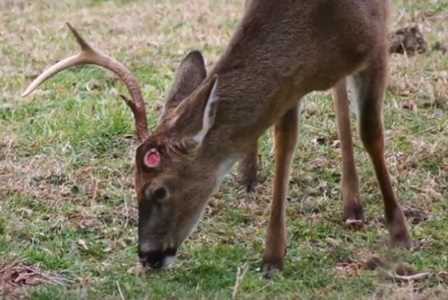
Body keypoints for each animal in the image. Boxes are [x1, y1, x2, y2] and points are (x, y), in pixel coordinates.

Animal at [22, 0, 412, 278]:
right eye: (133, 184)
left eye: (159, 190)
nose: (147, 255)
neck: (317, 31)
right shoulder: (291, 82)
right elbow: (285, 142)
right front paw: (273, 256)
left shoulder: (378, 43)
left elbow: (371, 133)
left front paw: (399, 233)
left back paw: (354, 206)